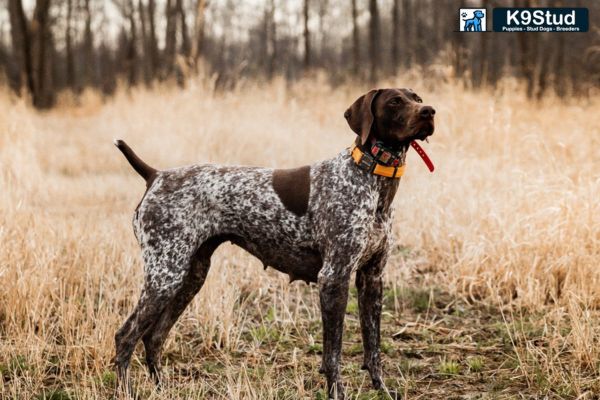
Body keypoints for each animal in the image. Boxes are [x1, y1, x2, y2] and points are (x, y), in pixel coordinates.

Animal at [112, 87, 434, 396]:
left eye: (416, 97)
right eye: (394, 101)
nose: (429, 111)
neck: (371, 179)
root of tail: (156, 175)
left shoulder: (372, 278)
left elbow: (373, 347)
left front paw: (382, 390)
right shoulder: (334, 277)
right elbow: (333, 352)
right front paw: (336, 392)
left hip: (190, 276)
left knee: (154, 337)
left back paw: (161, 388)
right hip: (165, 276)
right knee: (125, 336)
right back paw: (127, 391)